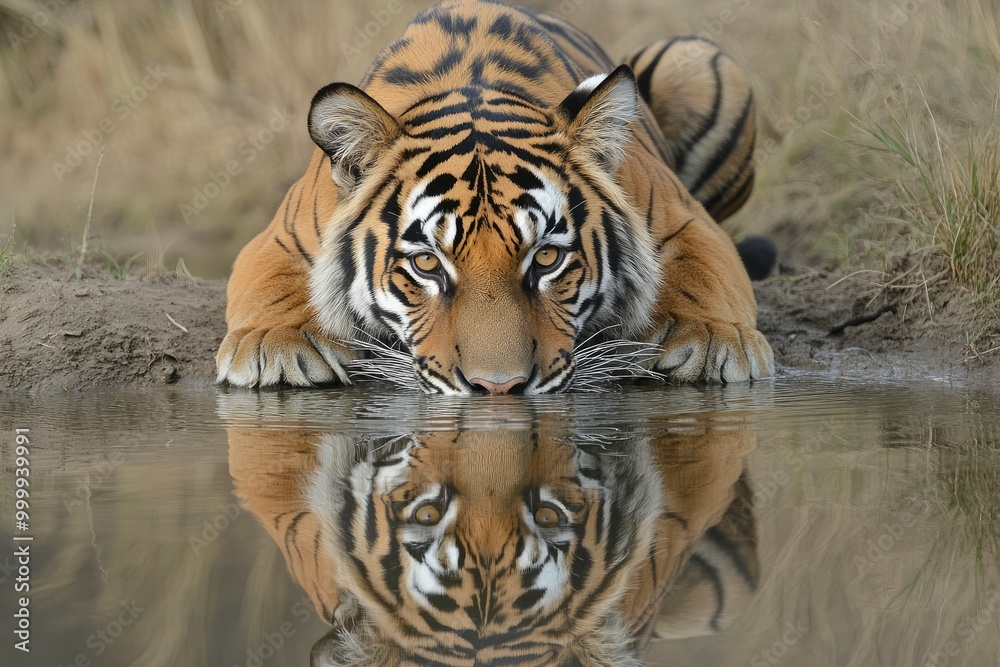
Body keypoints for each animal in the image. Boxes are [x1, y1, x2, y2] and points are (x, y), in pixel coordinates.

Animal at [215, 0, 775, 395]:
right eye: (426, 264)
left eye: (546, 258)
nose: (499, 388)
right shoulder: (279, 238)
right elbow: (271, 286)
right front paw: (275, 348)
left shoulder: (686, 220)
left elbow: (703, 274)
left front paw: (710, 340)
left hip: (698, 58)